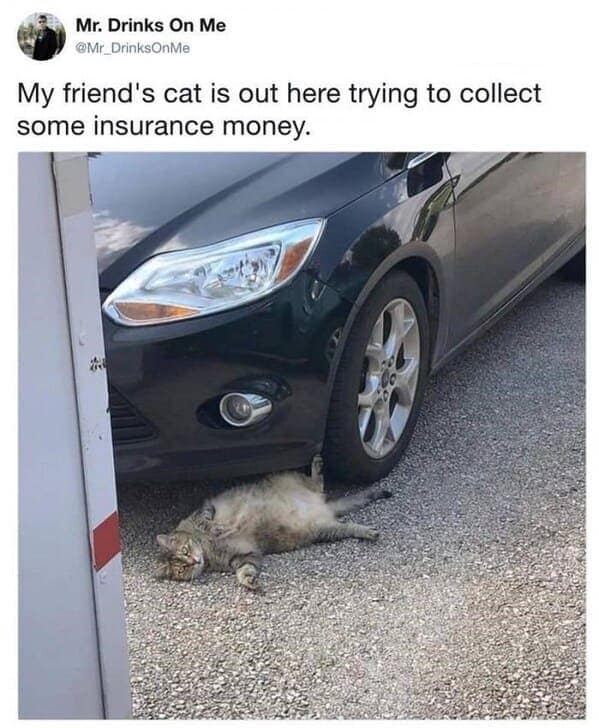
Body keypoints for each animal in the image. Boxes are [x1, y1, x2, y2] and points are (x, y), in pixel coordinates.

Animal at [155, 470, 392, 590]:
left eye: (185, 551)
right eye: (181, 569)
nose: (195, 561)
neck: (207, 548)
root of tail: (322, 507)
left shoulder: (204, 509)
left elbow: (208, 521)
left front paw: (216, 528)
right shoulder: (245, 556)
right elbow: (245, 571)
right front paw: (248, 581)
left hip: (294, 480)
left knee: (318, 482)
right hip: (326, 530)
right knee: (349, 526)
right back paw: (367, 532)